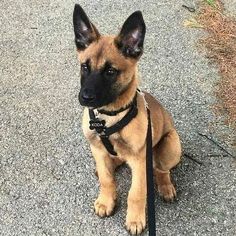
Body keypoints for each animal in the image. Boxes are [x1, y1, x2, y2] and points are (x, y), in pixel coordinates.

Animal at [73, 4, 182, 235]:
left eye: (110, 71)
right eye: (84, 67)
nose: (85, 97)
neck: (109, 118)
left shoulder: (140, 160)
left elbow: (136, 193)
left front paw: (135, 219)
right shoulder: (97, 148)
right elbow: (107, 180)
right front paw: (106, 201)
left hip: (170, 146)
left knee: (161, 169)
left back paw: (166, 186)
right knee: (114, 163)